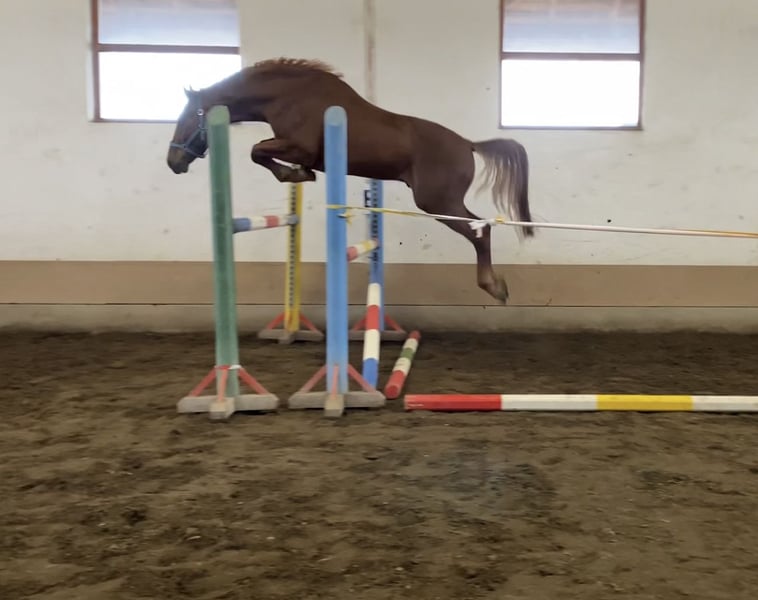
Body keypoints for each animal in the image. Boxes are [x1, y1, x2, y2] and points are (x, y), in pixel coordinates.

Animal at [166, 57, 533, 303]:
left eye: (185, 119)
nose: (173, 162)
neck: (288, 96)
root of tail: (468, 143)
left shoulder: (297, 145)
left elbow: (257, 151)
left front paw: (293, 173)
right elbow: (263, 153)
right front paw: (299, 174)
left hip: (438, 202)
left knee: (480, 231)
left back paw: (494, 287)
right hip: (442, 202)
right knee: (481, 228)